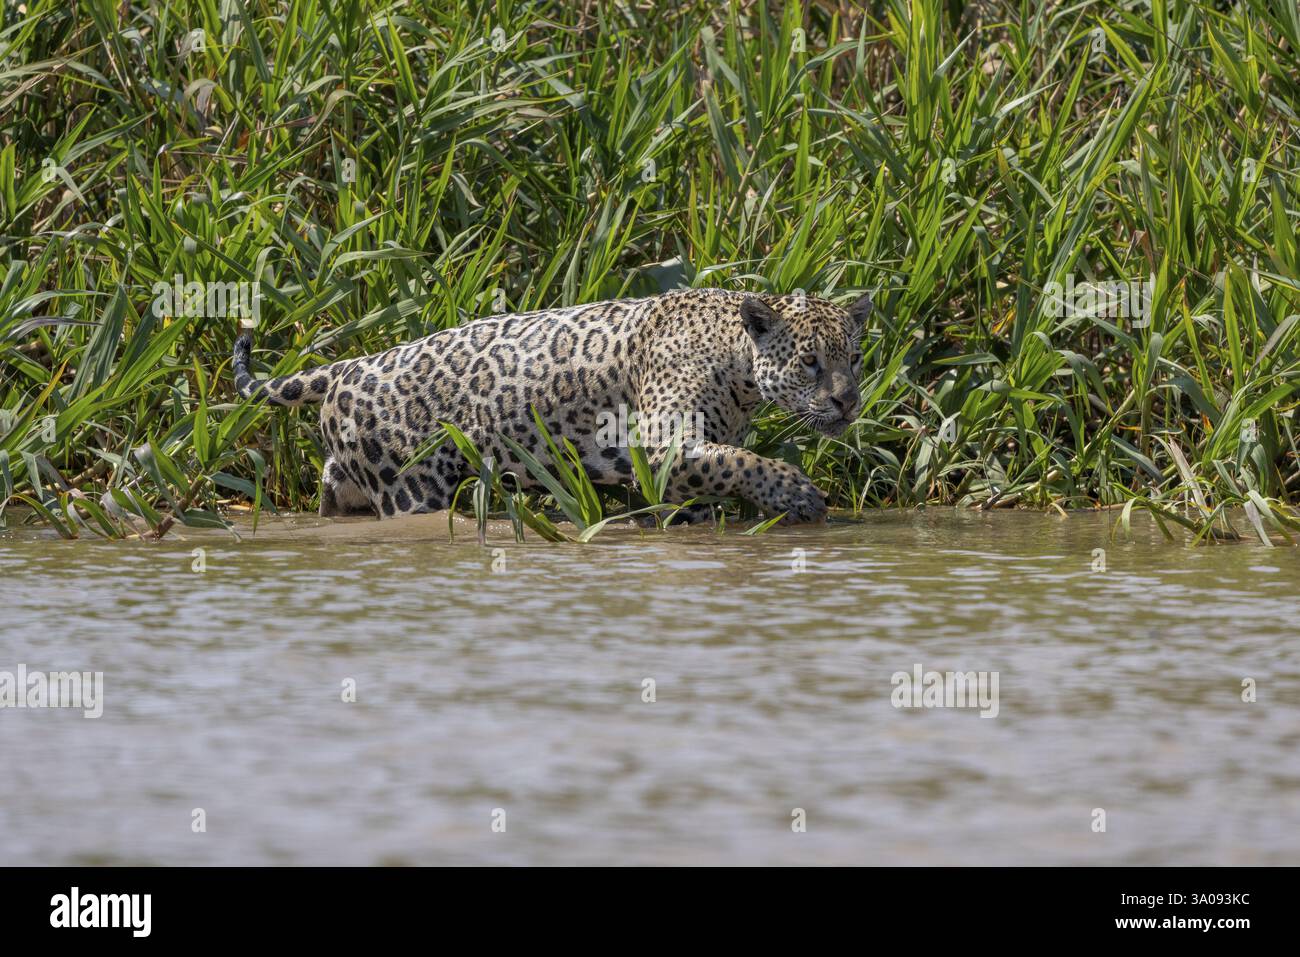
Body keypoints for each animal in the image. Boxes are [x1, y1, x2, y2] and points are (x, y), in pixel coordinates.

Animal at [232, 288, 872, 524]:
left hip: (354, 475)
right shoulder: (662, 445)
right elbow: (742, 463)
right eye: (810, 362)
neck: (739, 366)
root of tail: (348, 365)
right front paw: (799, 495)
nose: (848, 401)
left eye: (856, 358)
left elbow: (713, 478)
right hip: (413, 490)